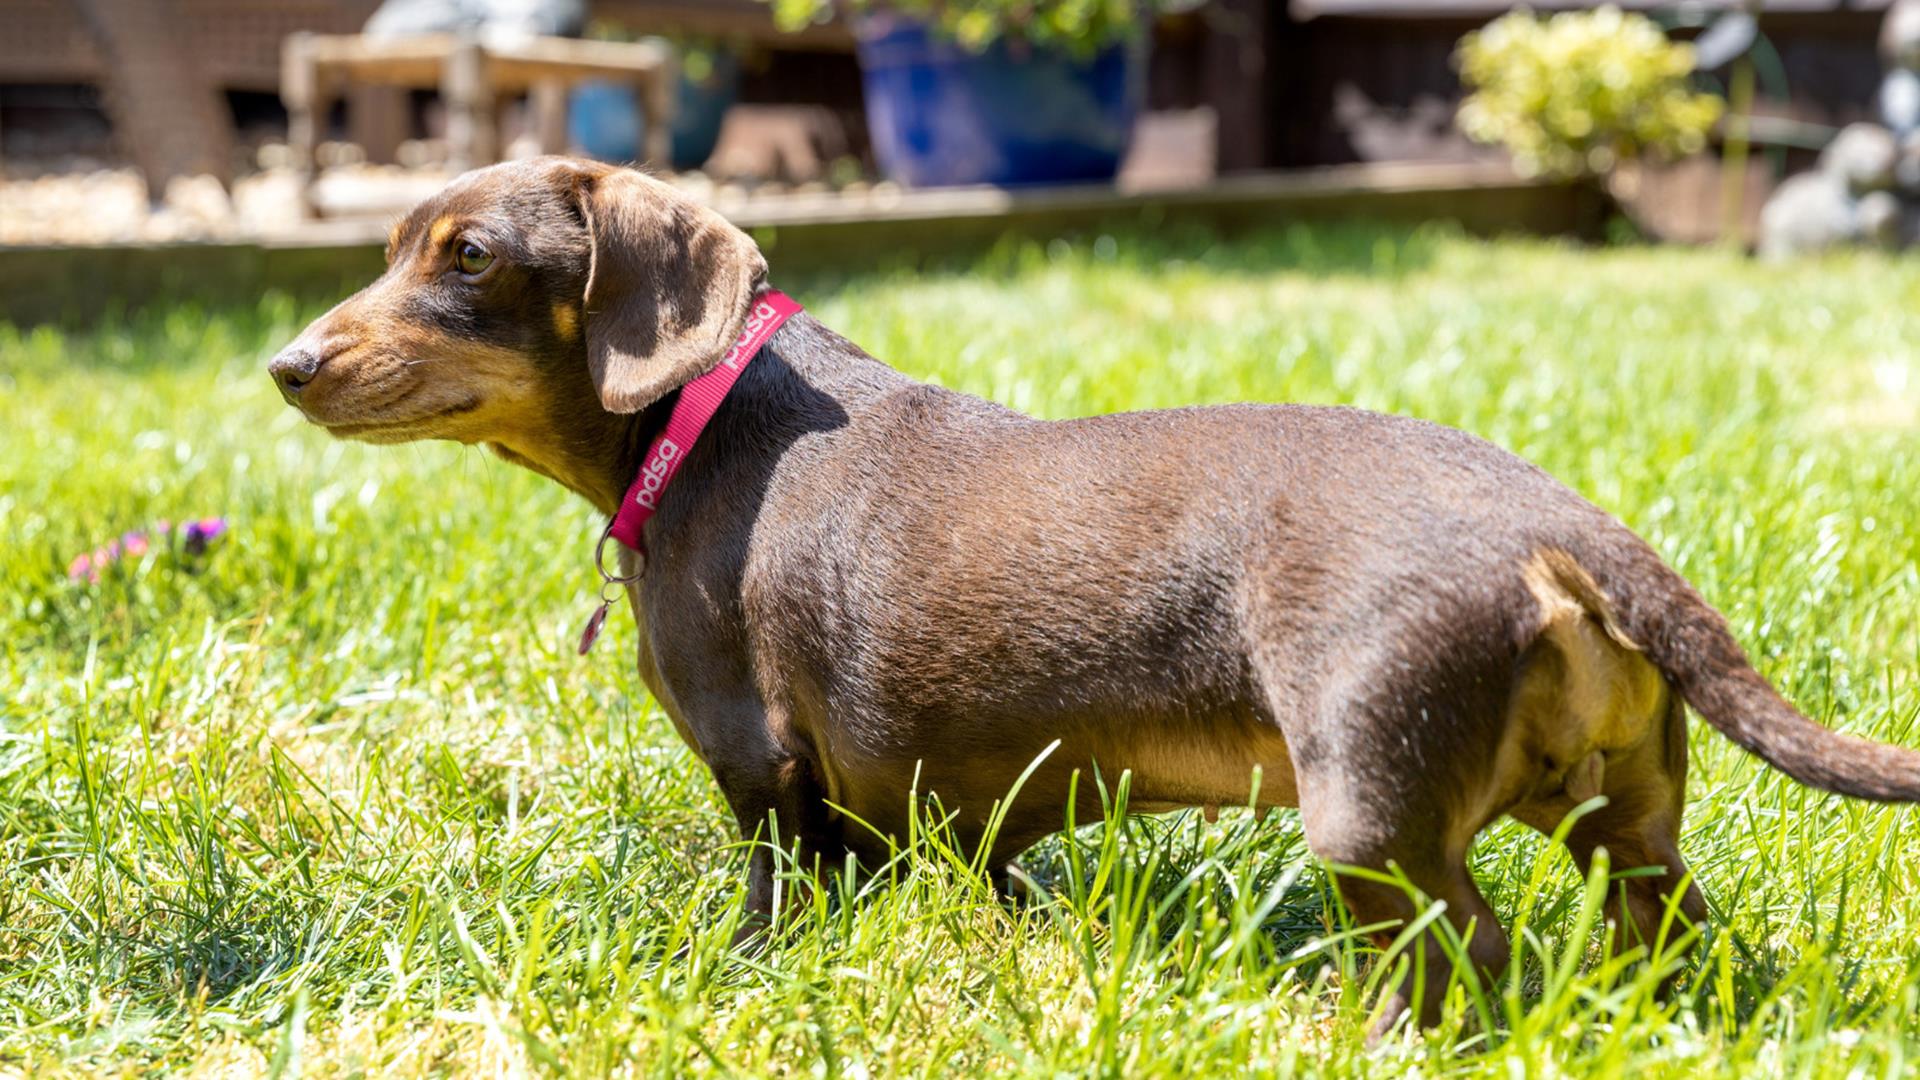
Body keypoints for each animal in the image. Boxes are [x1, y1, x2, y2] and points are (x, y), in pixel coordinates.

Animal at [268, 157, 1920, 1034]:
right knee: (1664, 926)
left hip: (1373, 809)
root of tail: (1566, 526)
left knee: (1466, 961)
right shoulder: (933, 805)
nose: (286, 365)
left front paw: (732, 985)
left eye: (468, 255)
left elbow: (767, 901)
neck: (711, 421)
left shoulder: (759, 767)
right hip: (1627, 814)